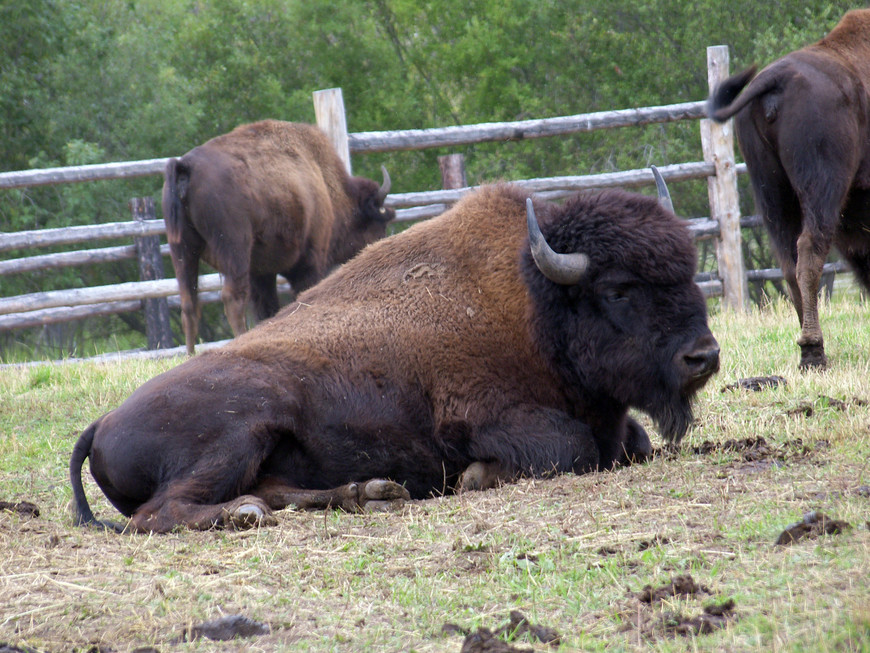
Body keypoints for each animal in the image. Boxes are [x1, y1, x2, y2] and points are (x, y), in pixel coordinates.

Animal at [70, 176, 724, 532]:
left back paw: (369, 493)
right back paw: (247, 514)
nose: (704, 356)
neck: (538, 302)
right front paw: (478, 477)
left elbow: (632, 441)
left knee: (275, 490)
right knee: (158, 514)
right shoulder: (480, 416)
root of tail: (103, 421)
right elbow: (573, 447)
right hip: (243, 424)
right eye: (618, 289)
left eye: (690, 270)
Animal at [163, 119, 396, 354]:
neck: (325, 182)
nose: (379, 247)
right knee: (231, 297)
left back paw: (191, 353)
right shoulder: (310, 261)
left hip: (183, 251)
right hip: (234, 249)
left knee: (189, 303)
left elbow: (267, 309)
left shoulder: (261, 273)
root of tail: (185, 166)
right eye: (379, 222)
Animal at [708, 7, 870, 370]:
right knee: (809, 252)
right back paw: (813, 351)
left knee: (789, 261)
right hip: (821, 186)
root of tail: (775, 80)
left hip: (772, 191)